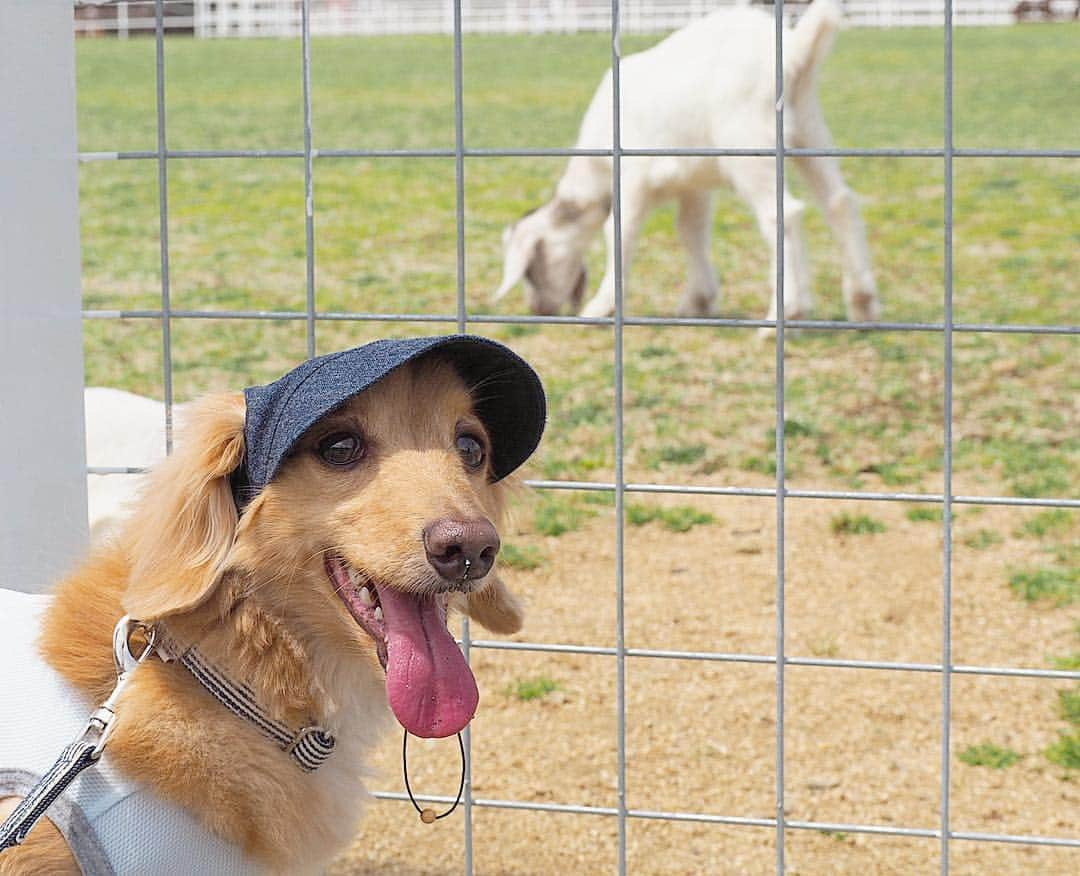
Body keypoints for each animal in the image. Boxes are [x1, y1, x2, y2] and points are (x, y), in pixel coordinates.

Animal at [494, 0, 876, 326]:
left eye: (530, 269)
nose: (539, 308)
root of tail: (794, 51)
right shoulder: (694, 184)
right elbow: (691, 231)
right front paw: (698, 301)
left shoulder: (632, 176)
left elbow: (619, 233)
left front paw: (600, 308)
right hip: (809, 129)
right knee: (839, 201)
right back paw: (863, 304)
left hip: (750, 143)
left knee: (783, 214)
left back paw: (787, 313)